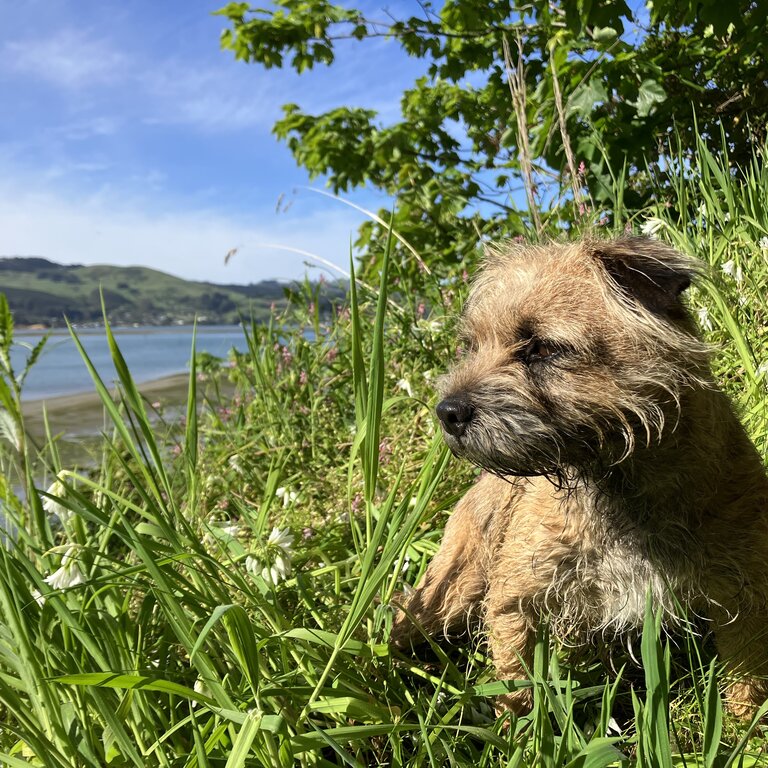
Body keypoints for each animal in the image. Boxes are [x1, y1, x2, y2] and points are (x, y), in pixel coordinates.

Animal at [392, 237, 768, 716]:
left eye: (542, 348)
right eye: (472, 346)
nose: (447, 411)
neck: (618, 485)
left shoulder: (745, 594)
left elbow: (748, 680)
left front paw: (745, 729)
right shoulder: (513, 599)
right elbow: (516, 682)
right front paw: (519, 729)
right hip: (451, 586)